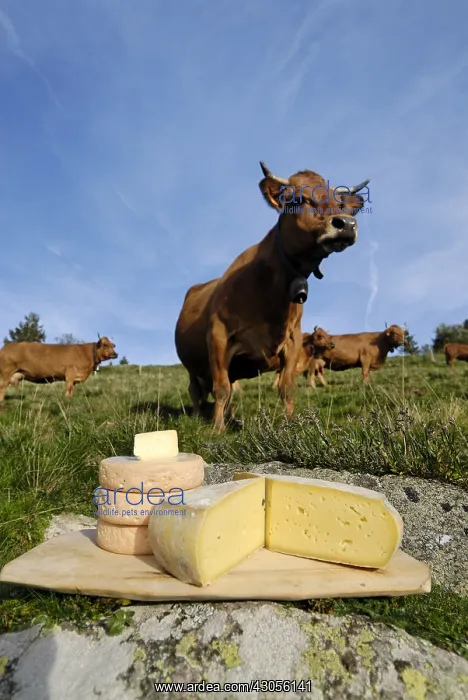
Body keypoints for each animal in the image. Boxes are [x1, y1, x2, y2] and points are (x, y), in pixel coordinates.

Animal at [174, 160, 369, 432]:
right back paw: (197, 415)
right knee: (196, 390)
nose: (346, 224)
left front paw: (289, 424)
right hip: (192, 365)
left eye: (340, 204)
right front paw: (217, 429)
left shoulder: (293, 339)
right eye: (298, 198)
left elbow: (286, 387)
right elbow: (220, 388)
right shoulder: (218, 337)